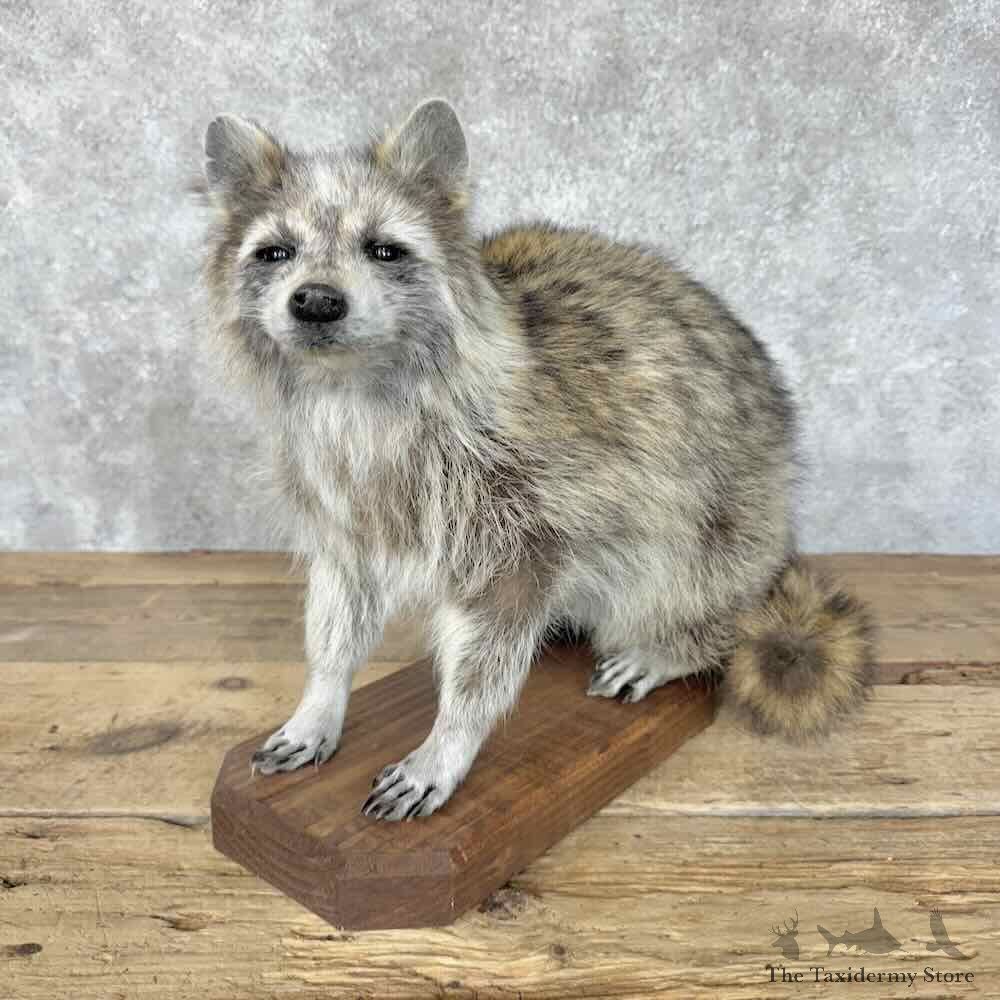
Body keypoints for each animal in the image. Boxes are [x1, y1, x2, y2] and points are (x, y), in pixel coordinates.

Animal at [200, 99, 874, 821]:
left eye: (383, 248)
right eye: (276, 252)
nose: (317, 301)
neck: (351, 384)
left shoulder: (526, 497)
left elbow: (491, 643)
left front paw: (450, 739)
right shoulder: (333, 486)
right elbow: (340, 593)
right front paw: (322, 695)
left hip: (735, 497)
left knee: (696, 568)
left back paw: (682, 641)